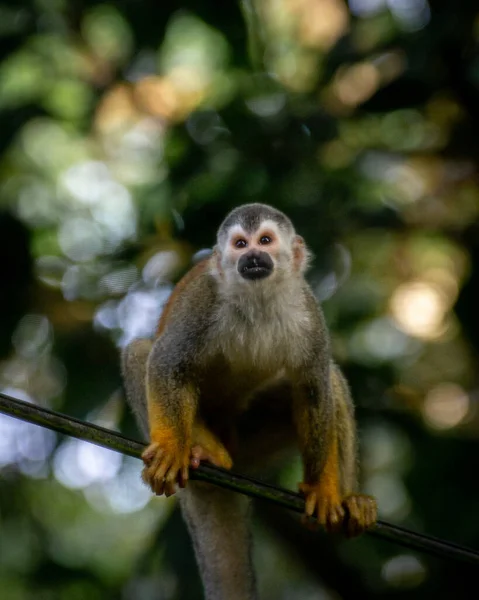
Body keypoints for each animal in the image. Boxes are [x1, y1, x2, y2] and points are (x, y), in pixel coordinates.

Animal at [122, 203, 376, 600]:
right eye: (240, 244)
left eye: (265, 240)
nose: (253, 256)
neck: (258, 297)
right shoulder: (204, 298)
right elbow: (167, 363)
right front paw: (170, 449)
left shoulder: (309, 310)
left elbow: (314, 389)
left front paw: (324, 489)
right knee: (140, 354)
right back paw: (201, 449)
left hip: (251, 447)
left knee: (330, 379)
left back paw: (350, 500)